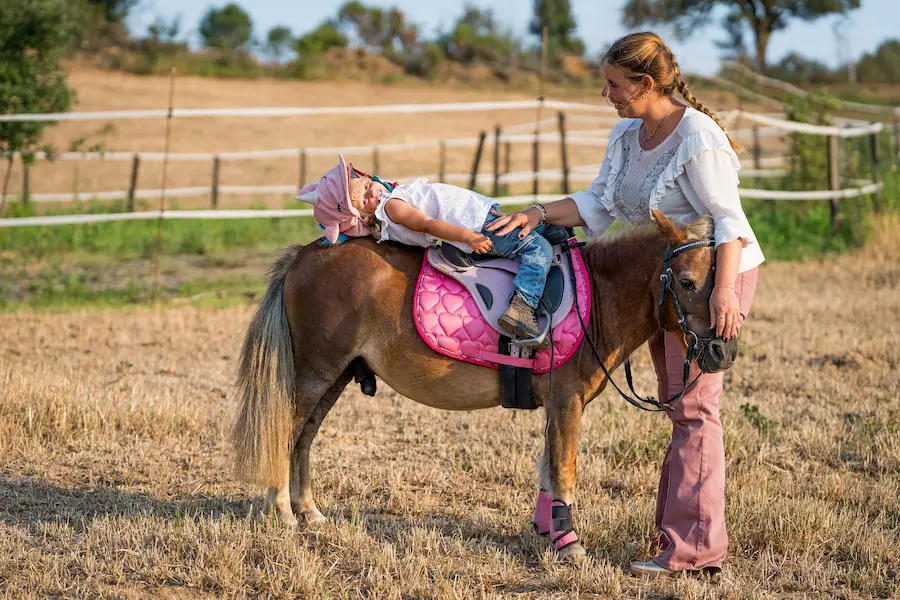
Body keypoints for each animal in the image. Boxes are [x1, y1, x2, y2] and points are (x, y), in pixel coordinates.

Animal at [231, 210, 738, 559]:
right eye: (686, 281)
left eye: (721, 281)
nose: (722, 351)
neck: (596, 297)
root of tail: (304, 253)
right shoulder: (568, 401)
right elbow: (565, 470)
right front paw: (570, 543)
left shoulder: (555, 407)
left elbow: (548, 468)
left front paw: (548, 531)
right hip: (315, 371)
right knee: (285, 431)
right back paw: (283, 512)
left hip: (333, 375)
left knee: (303, 437)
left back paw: (309, 512)